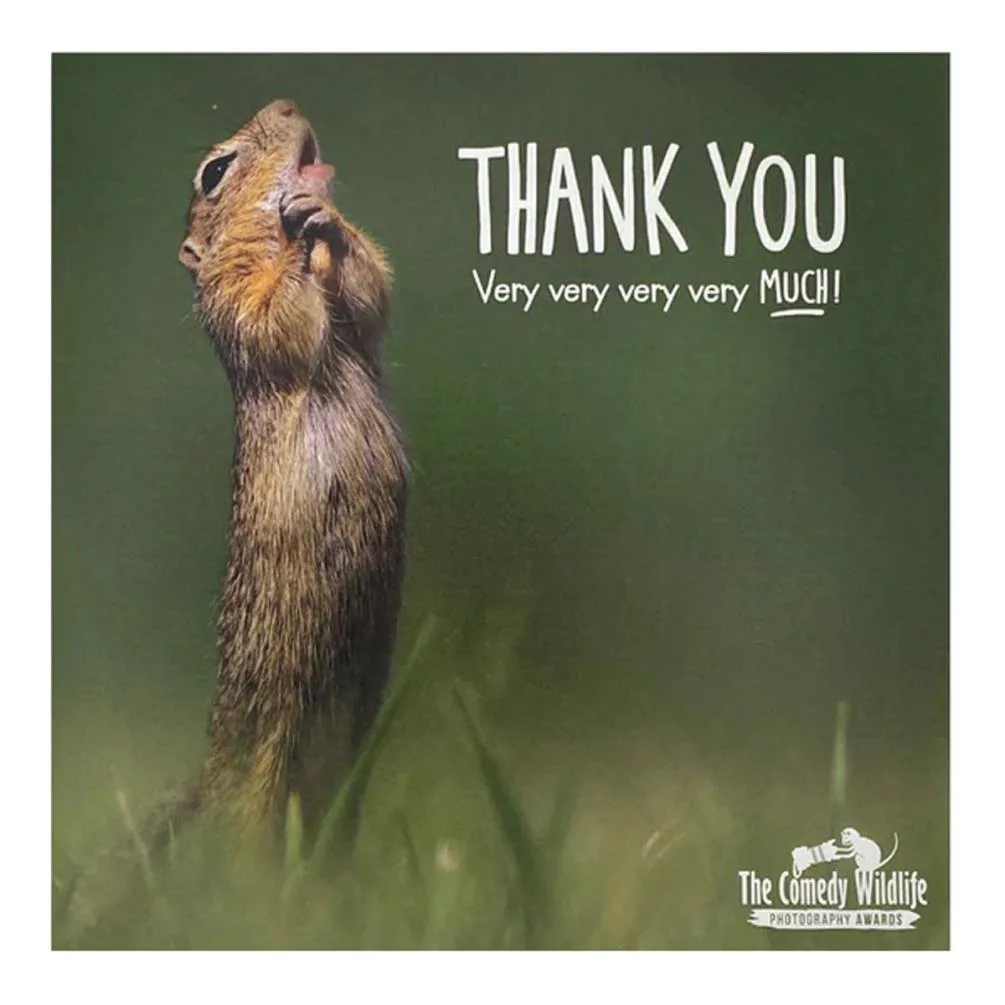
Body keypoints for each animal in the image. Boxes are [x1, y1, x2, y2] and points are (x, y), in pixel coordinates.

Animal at [58, 100, 407, 943]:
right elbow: (273, 313)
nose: (287, 106)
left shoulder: (360, 309)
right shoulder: (234, 299)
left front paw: (327, 224)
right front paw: (301, 231)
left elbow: (369, 290)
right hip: (257, 780)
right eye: (214, 171)